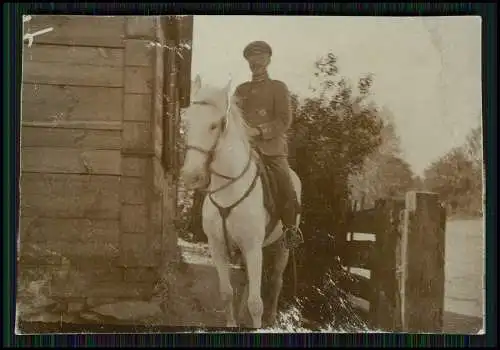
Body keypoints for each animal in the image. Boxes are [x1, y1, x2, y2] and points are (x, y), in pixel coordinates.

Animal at [182, 75, 302, 330]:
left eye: (215, 125)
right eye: (187, 123)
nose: (190, 176)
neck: (229, 189)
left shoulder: (253, 247)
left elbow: (257, 303)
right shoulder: (218, 247)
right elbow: (226, 293)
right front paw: (232, 321)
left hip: (282, 248)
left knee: (276, 281)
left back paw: (271, 318)